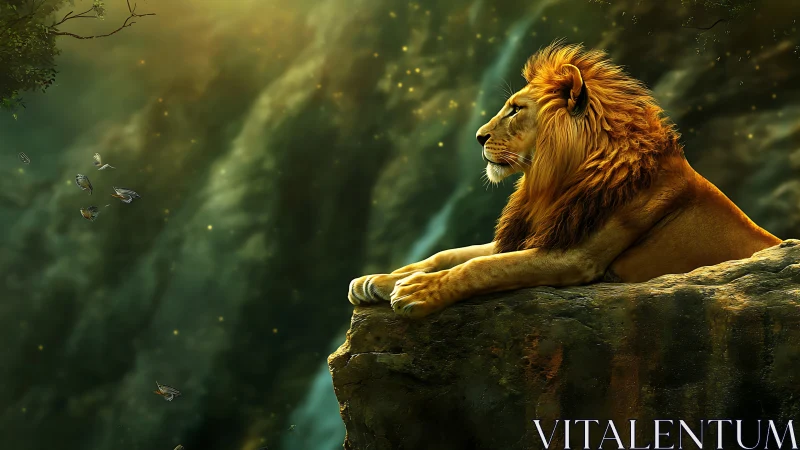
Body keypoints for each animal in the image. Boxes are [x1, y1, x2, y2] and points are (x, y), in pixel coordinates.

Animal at [348, 41, 781, 318]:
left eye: (515, 109)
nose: (478, 138)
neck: (553, 181)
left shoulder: (575, 258)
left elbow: (480, 267)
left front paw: (418, 291)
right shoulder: (538, 233)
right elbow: (450, 254)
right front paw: (378, 280)